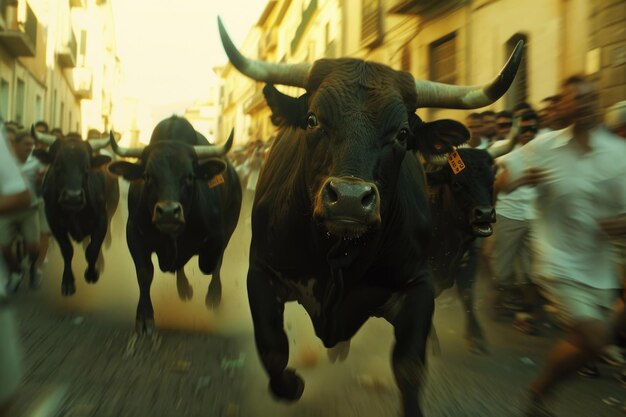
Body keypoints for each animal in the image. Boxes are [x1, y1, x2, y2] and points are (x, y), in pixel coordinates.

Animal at [32, 130, 117, 296]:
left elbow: (93, 249)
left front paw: (92, 273)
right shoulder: (53, 222)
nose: (73, 197)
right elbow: (67, 250)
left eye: (87, 167)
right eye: (57, 165)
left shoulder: (102, 220)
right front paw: (68, 282)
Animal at [107, 115, 241, 334]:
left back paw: (213, 296)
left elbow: (210, 262)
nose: (169, 212)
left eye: (189, 176)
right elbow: (145, 274)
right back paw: (184, 288)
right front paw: (144, 317)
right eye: (147, 175)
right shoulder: (134, 236)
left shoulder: (218, 234)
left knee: (216, 264)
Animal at [217, 17, 520, 416]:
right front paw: (293, 384)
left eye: (403, 134)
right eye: (312, 119)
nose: (347, 200)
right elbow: (273, 350)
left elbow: (410, 367)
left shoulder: (420, 285)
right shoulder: (262, 273)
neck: (339, 253)